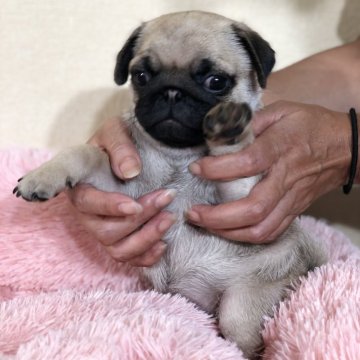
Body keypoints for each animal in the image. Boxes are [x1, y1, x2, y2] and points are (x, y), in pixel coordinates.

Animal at [12, 10, 326, 358]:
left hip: (246, 300)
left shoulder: (242, 195)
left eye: (216, 81)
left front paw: (228, 127)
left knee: (241, 329)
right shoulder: (127, 190)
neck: (179, 157)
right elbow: (85, 153)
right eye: (141, 76)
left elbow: (232, 164)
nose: (172, 91)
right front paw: (44, 174)